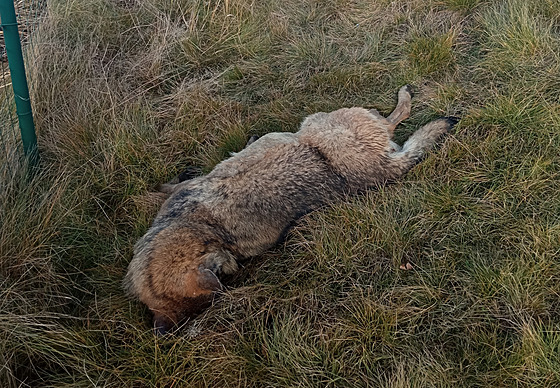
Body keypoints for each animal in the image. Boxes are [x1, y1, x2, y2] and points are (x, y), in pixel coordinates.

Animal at [124, 85, 458, 334]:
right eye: (222, 273)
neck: (200, 230)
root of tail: (380, 170)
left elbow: (170, 186)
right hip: (328, 124)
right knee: (393, 119)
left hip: (320, 120)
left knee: (392, 116)